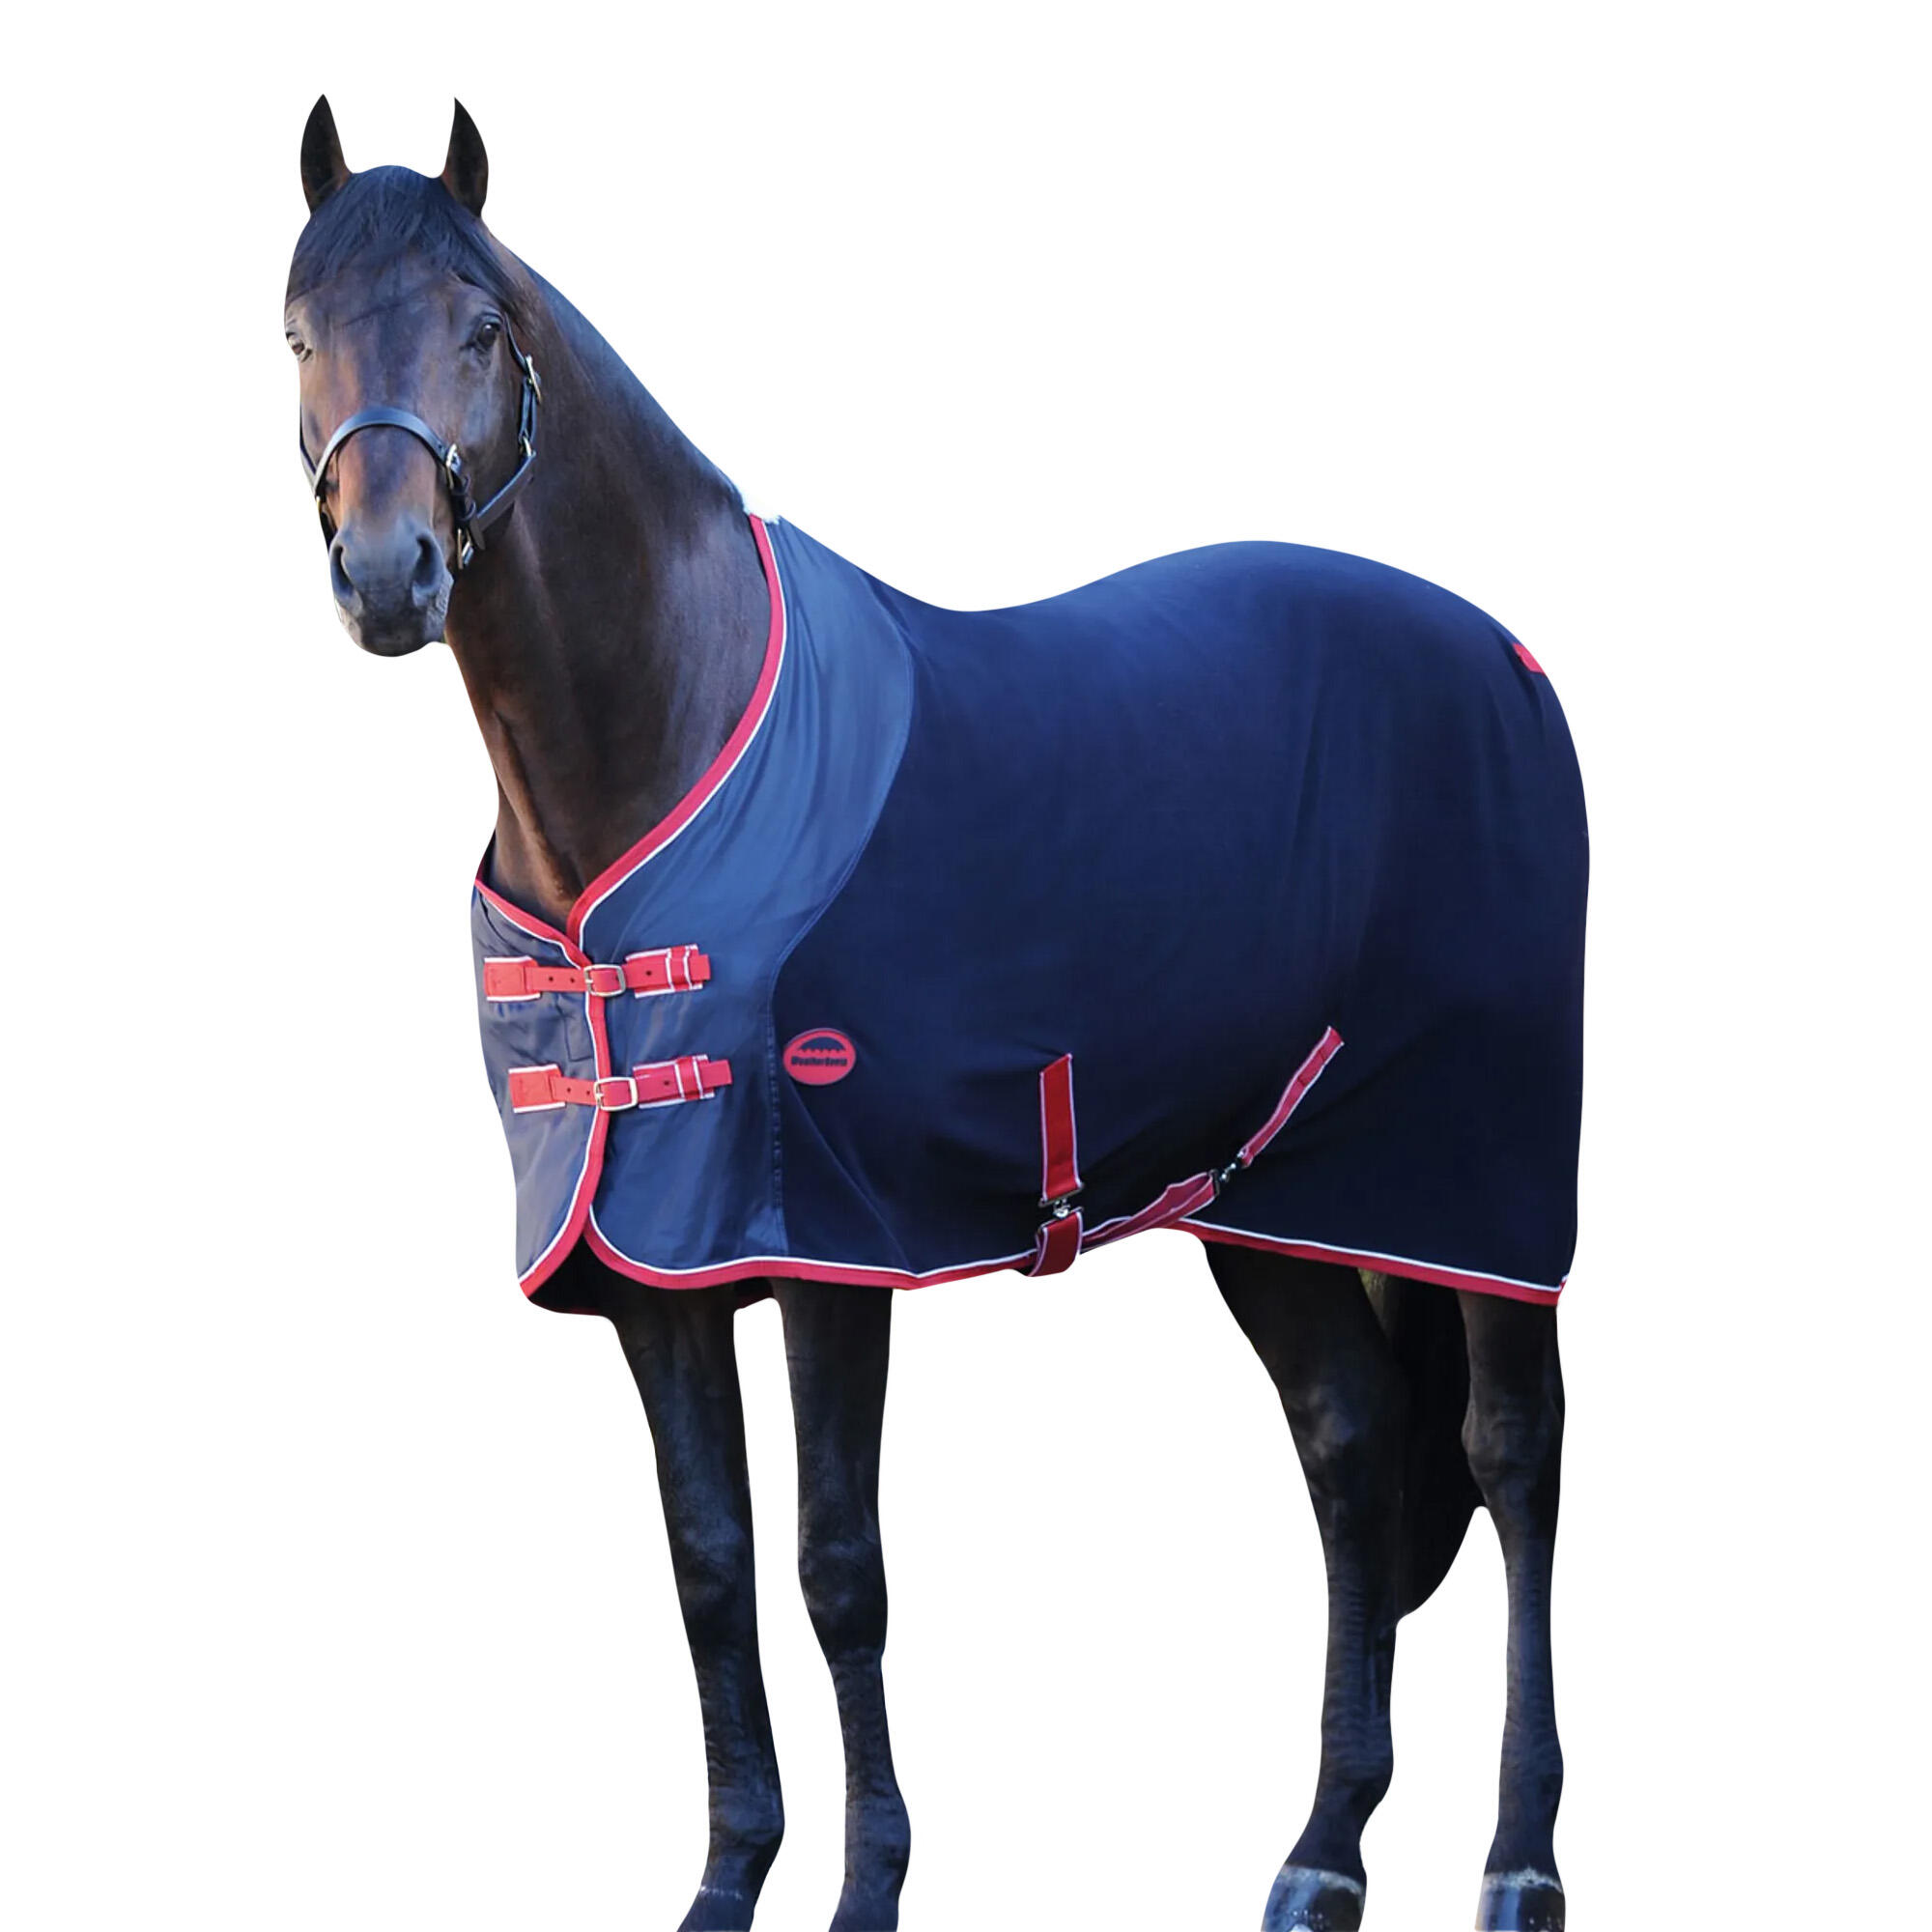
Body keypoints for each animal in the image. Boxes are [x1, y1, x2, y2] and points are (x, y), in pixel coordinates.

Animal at [284, 97, 1579, 1932]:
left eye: (481, 327)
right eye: (299, 333)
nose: (388, 577)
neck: (664, 738)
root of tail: (1507, 661)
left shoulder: (829, 1247)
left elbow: (839, 1568)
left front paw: (869, 1889)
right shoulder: (651, 1276)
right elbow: (708, 1564)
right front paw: (729, 1884)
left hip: (1478, 1192)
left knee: (1512, 1452)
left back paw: (1520, 1858)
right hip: (1274, 1202)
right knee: (1350, 1450)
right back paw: (1321, 1854)